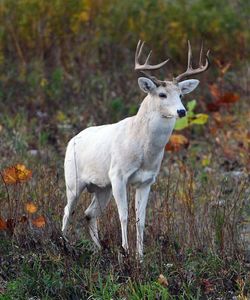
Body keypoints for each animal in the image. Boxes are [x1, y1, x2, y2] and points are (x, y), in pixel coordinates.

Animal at [62, 40, 209, 258]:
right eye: (162, 94)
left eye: (181, 94)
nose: (181, 111)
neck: (143, 152)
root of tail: (72, 139)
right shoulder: (118, 175)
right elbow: (124, 215)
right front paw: (125, 251)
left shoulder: (146, 181)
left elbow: (141, 219)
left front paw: (140, 256)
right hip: (73, 181)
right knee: (67, 209)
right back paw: (63, 244)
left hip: (102, 187)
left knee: (89, 213)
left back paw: (99, 248)